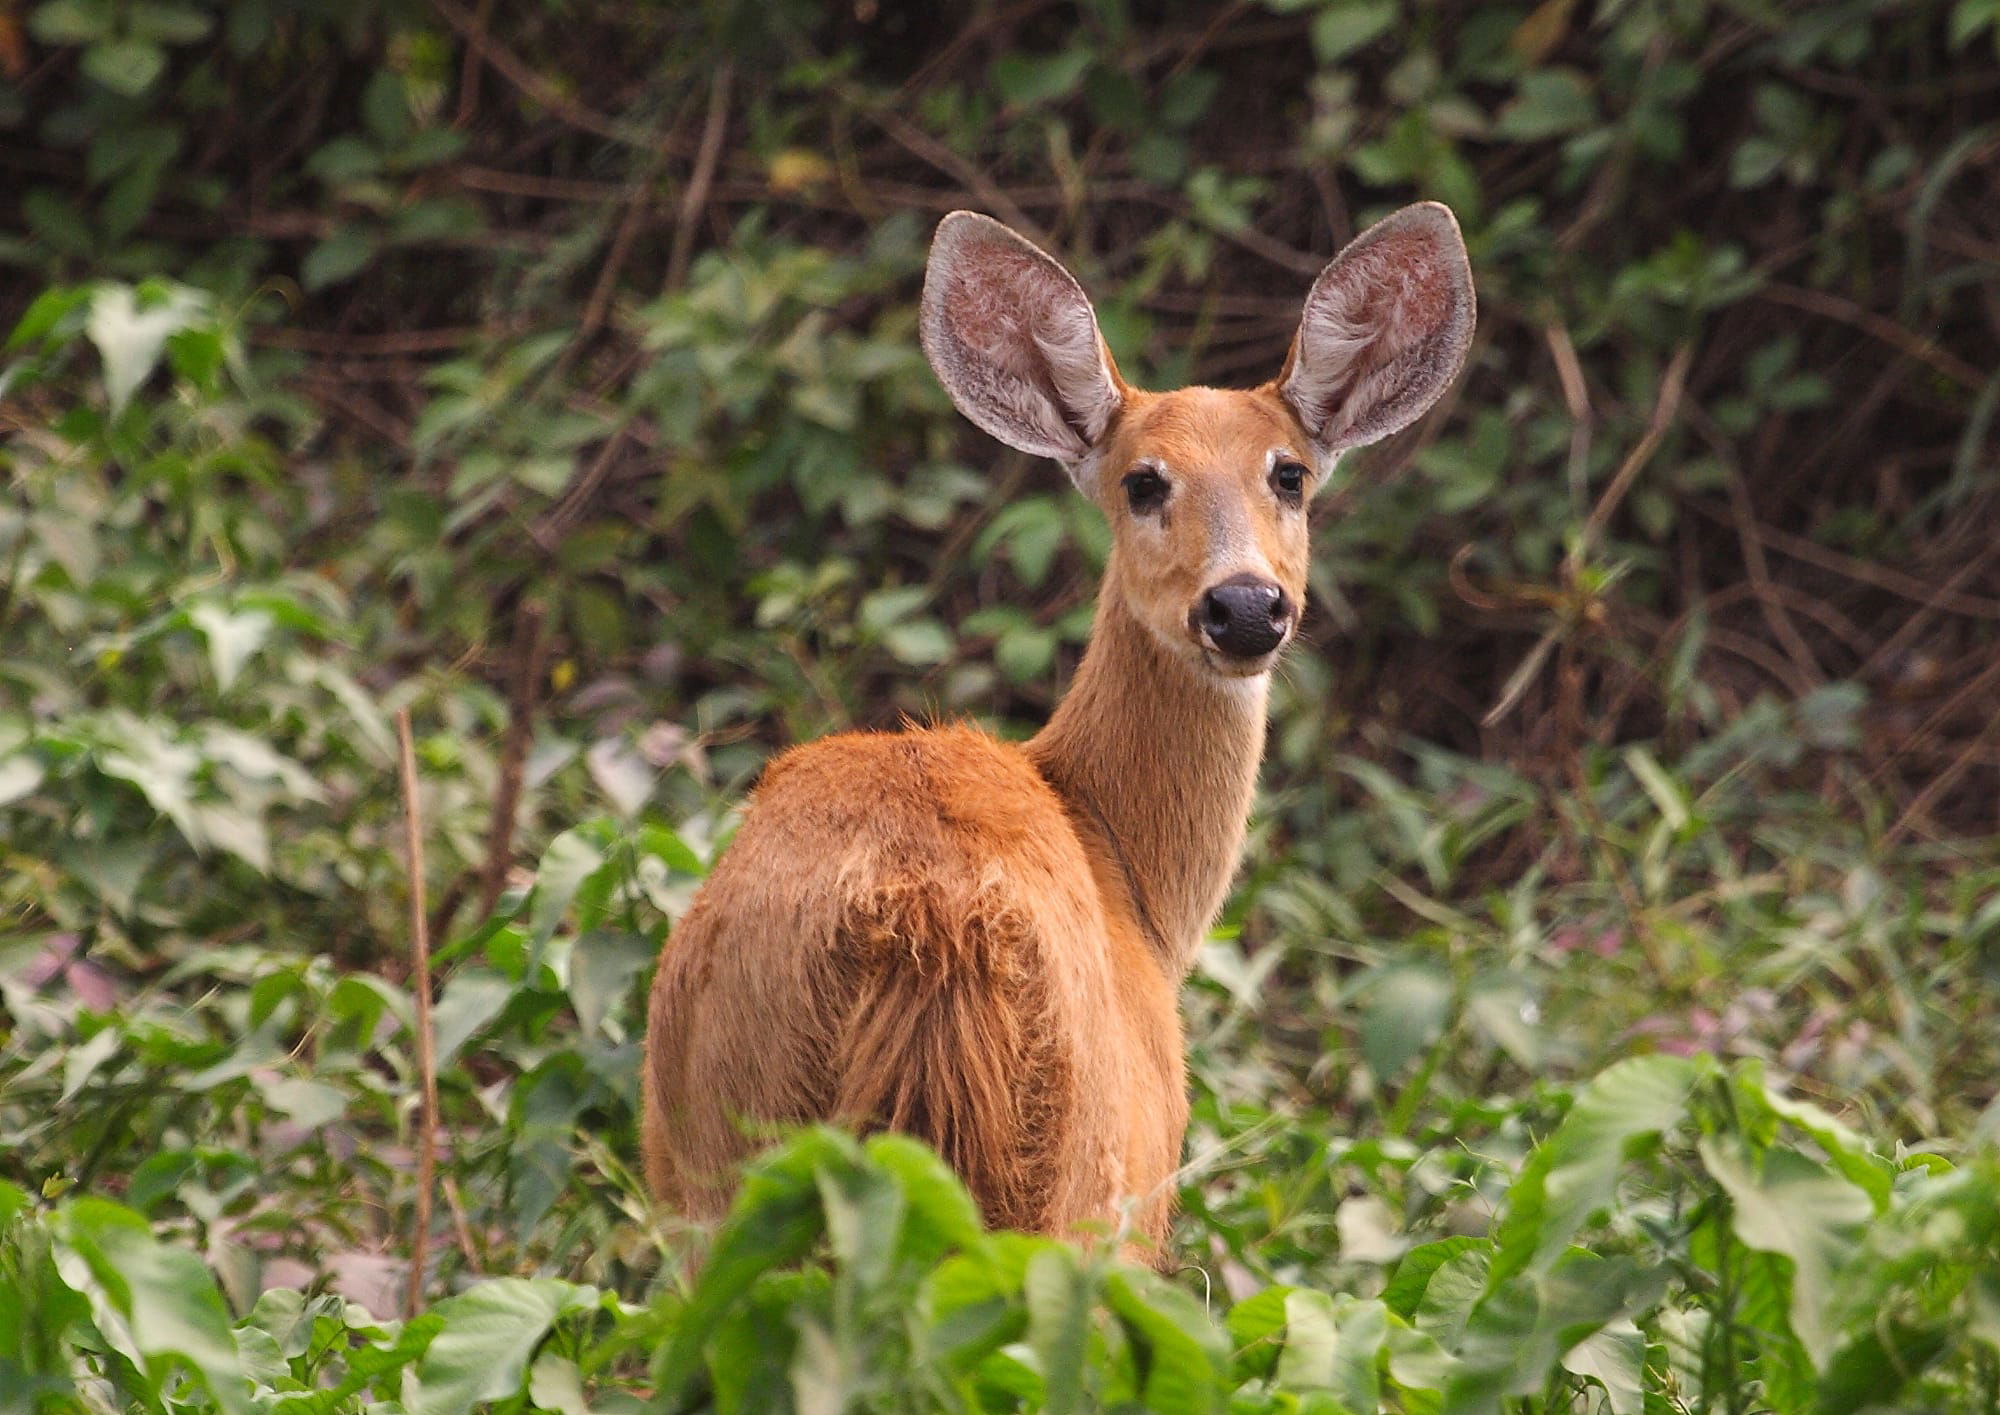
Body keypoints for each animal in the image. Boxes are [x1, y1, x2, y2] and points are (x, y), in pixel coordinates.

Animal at [640, 198, 1472, 1263]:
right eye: (1143, 481)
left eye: (1289, 474)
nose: (1245, 606)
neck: (1126, 867)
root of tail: (924, 918)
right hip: (1073, 1183)